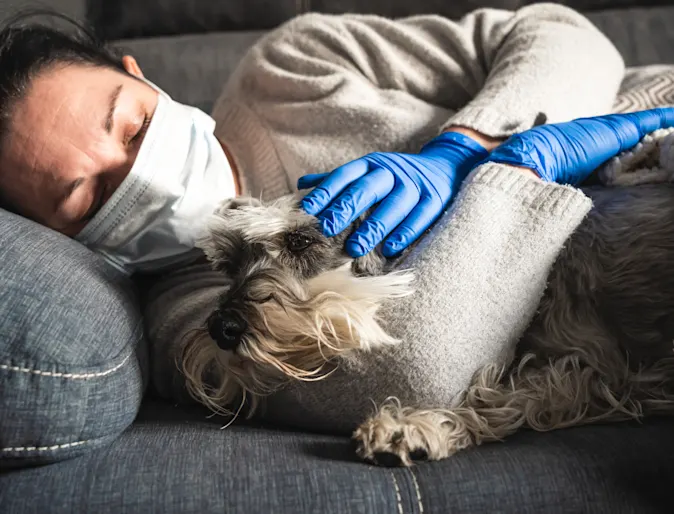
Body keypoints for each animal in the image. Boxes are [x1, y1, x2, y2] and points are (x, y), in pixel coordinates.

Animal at [180, 178, 674, 466]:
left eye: (300, 241)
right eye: (229, 263)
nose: (222, 328)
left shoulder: (594, 366)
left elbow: (501, 395)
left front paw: (410, 428)